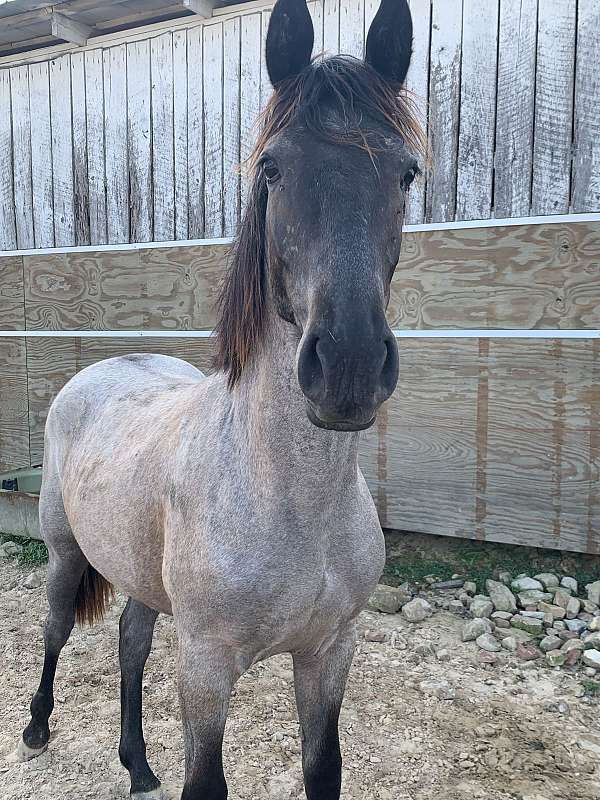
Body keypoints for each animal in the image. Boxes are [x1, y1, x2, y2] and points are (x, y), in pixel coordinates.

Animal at [10, 1, 422, 792]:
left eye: (407, 172)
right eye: (271, 167)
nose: (349, 364)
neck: (287, 498)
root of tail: (102, 369)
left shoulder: (329, 654)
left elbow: (324, 769)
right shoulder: (206, 667)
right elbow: (206, 780)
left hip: (141, 580)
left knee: (130, 644)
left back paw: (138, 765)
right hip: (65, 555)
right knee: (53, 629)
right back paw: (37, 729)